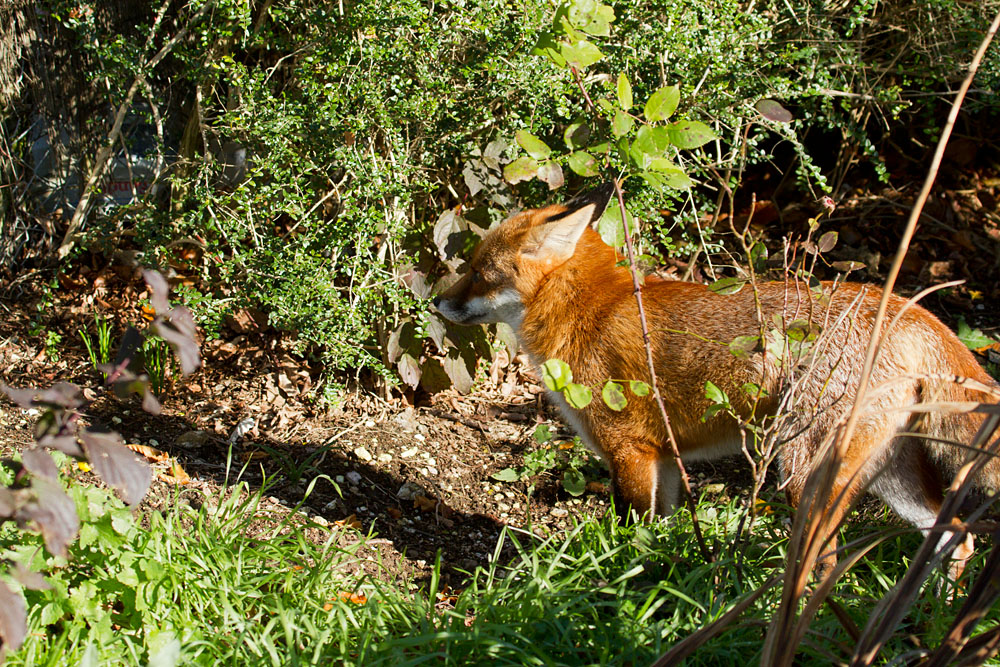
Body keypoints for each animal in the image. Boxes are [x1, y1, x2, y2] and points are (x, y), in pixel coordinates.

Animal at [433, 182, 1000, 579]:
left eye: (480, 273)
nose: (435, 302)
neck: (587, 308)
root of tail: (910, 309)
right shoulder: (663, 458)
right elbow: (660, 536)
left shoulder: (630, 451)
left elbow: (630, 537)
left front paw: (617, 586)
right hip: (890, 475)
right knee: (957, 535)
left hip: (804, 474)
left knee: (826, 559)